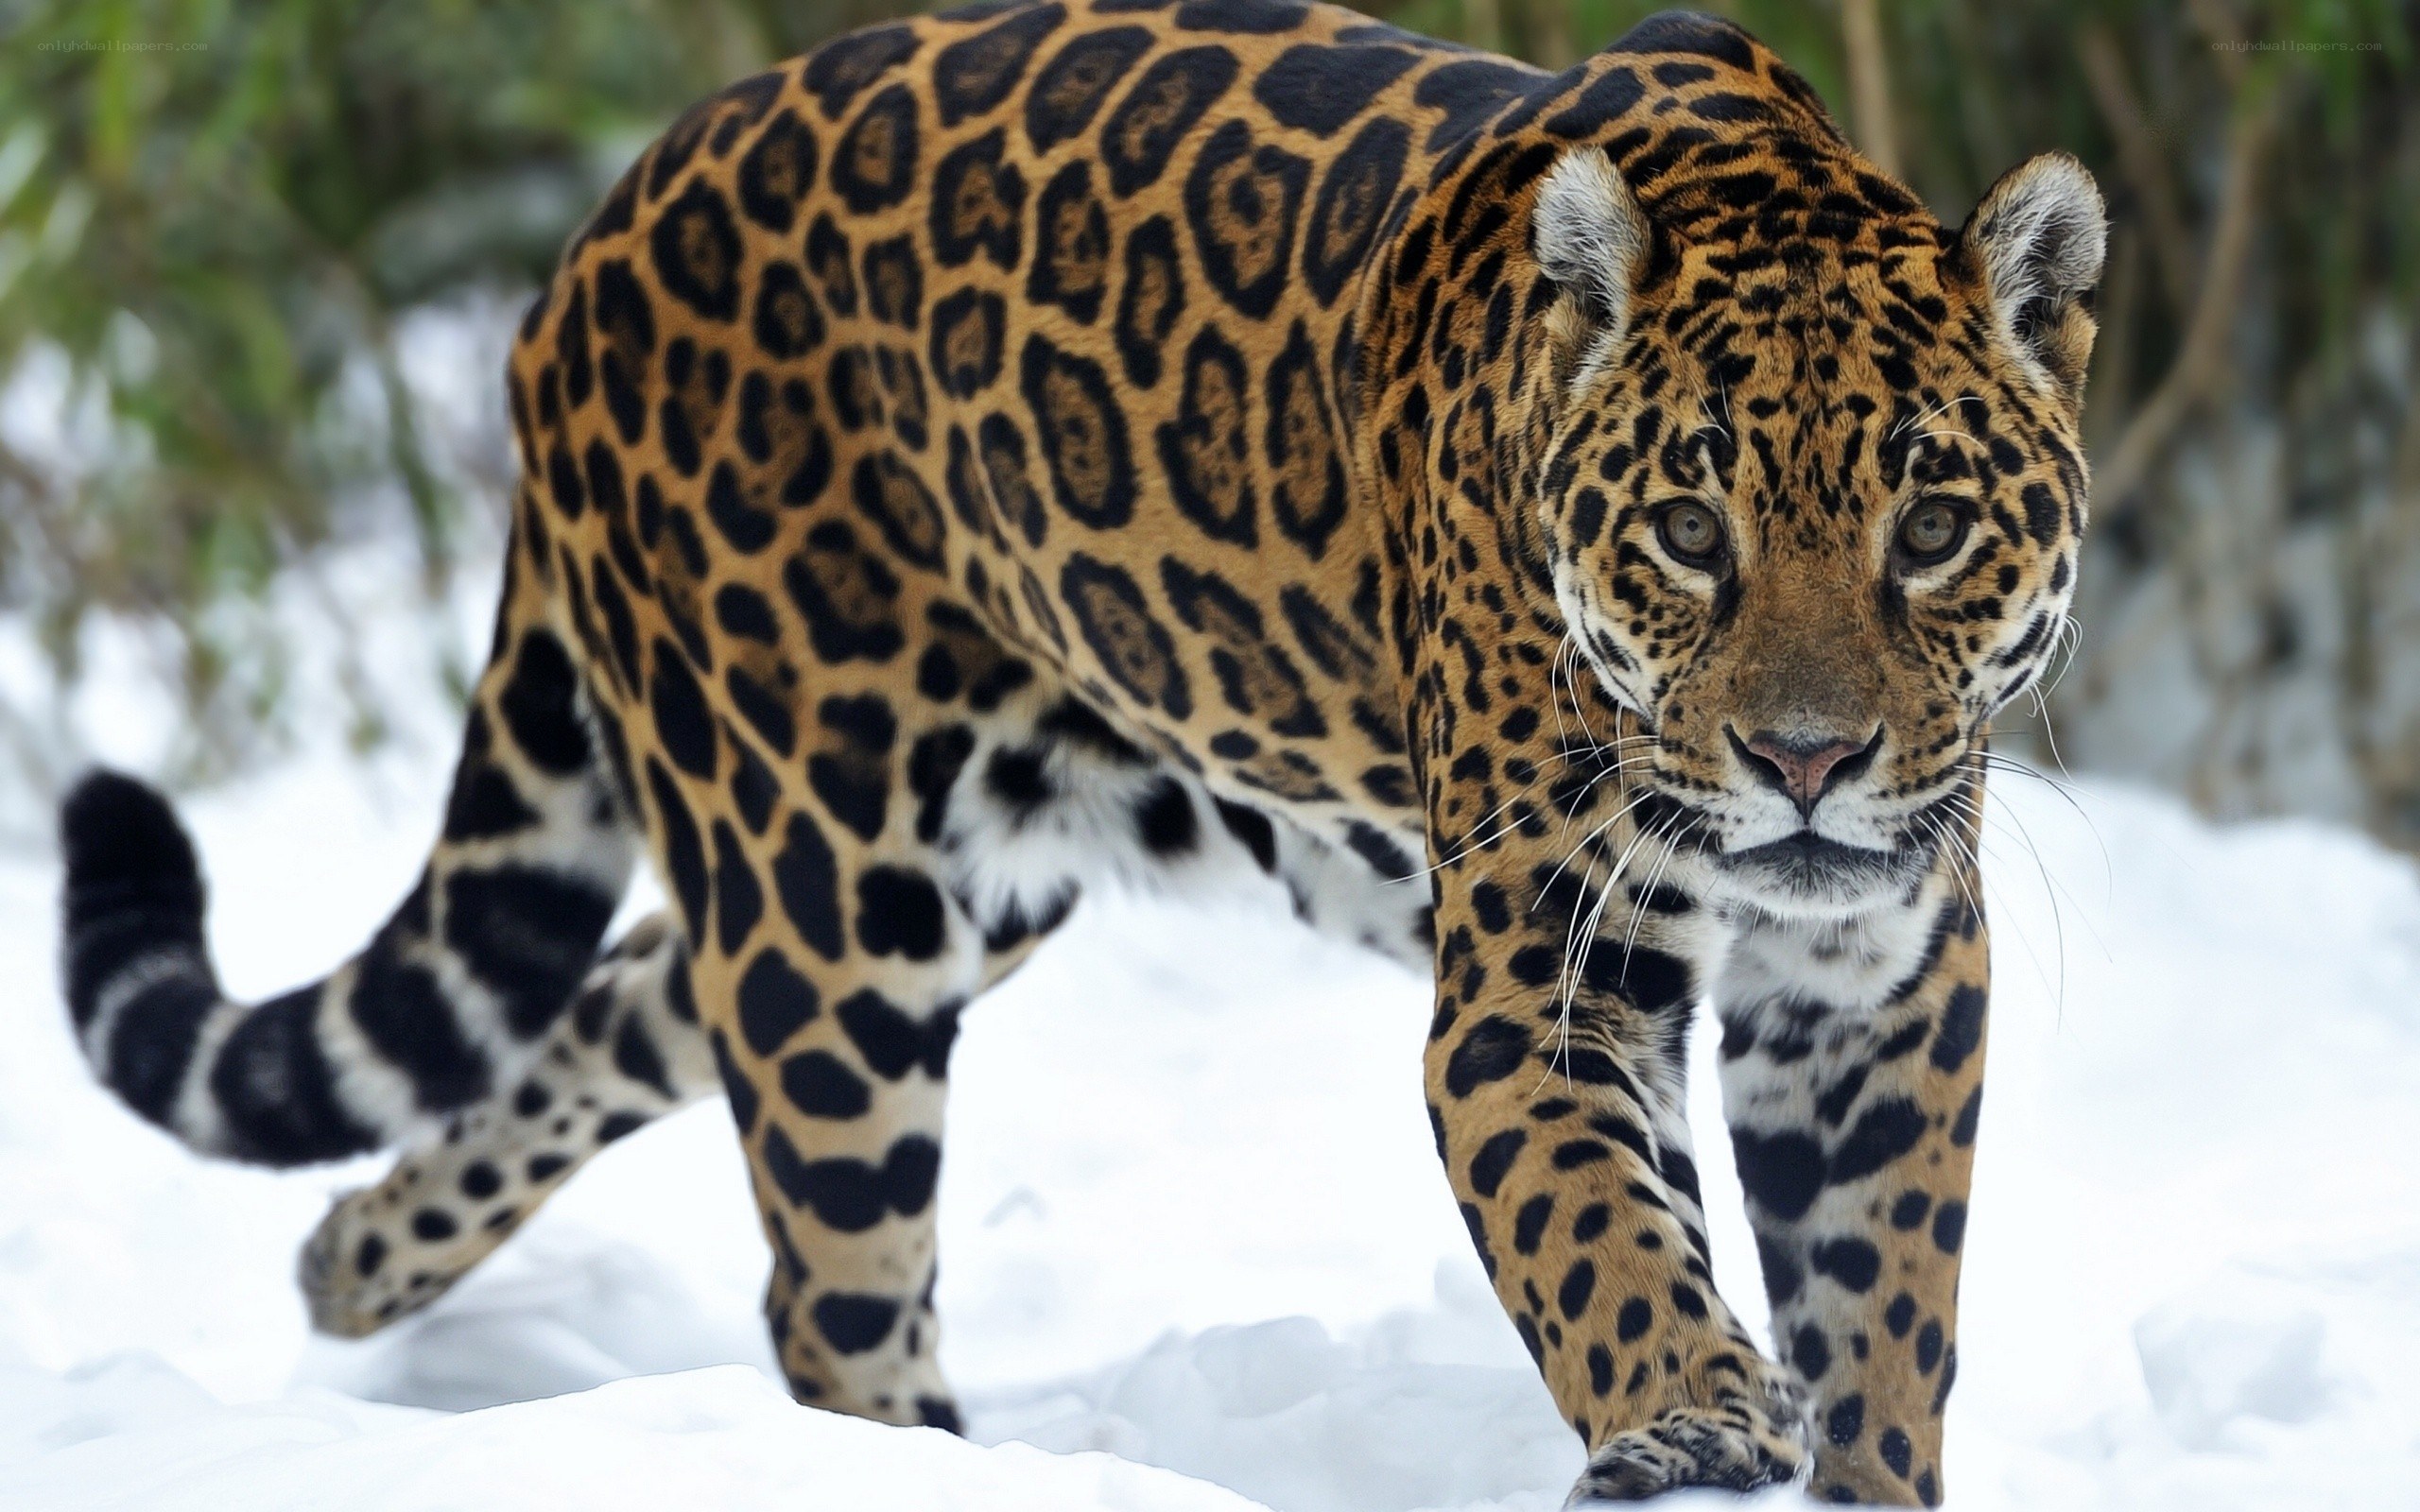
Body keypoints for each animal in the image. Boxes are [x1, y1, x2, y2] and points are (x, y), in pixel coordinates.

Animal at [56, 4, 2105, 1503]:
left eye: (1930, 528)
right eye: (1688, 530)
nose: (1806, 760)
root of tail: (594, 236)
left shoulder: (1876, 986)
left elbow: (1884, 1313)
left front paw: (1847, 1454)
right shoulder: (1544, 984)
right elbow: (1602, 1234)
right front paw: (1689, 1412)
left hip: (944, 881)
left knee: (610, 1005)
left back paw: (355, 1258)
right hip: (829, 899)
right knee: (833, 1289)